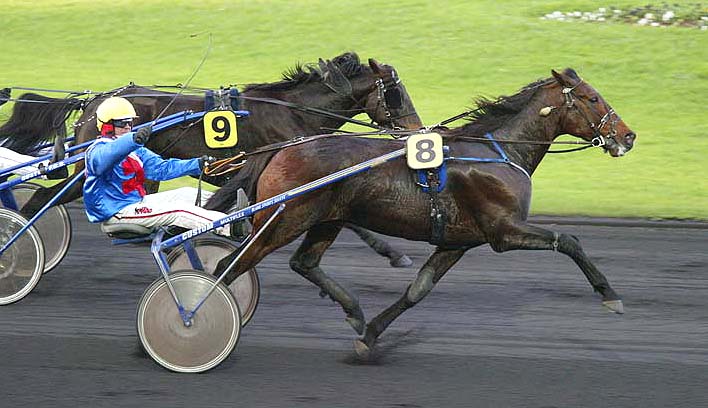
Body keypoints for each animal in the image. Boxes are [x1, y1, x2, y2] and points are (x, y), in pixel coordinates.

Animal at [0, 52, 423, 267]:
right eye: (396, 93)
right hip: (86, 170)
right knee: (44, 198)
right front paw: (395, 253)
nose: (415, 129)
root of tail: (94, 102)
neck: (294, 111)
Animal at [205, 68, 637, 357]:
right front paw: (610, 295)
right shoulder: (504, 231)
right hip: (282, 219)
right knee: (230, 265)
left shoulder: (457, 241)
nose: (628, 136)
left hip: (326, 220)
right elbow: (569, 240)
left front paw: (370, 336)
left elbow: (419, 289)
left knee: (303, 263)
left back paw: (354, 311)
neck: (497, 151)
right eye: (592, 98)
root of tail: (283, 148)